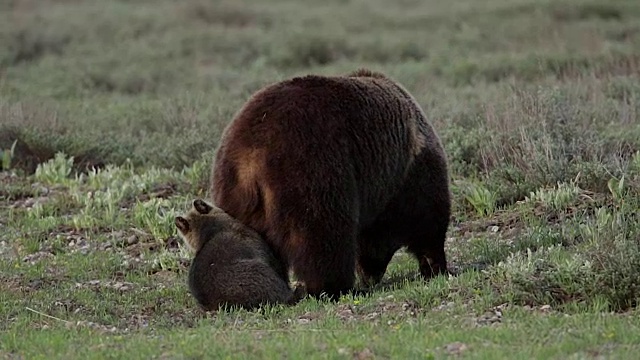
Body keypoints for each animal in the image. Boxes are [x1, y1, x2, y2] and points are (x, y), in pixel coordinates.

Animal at [209, 69, 450, 300]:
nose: (370, 277)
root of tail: (250, 155)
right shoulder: (407, 174)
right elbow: (427, 217)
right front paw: (435, 264)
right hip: (311, 167)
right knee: (323, 235)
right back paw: (333, 286)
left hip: (234, 194)